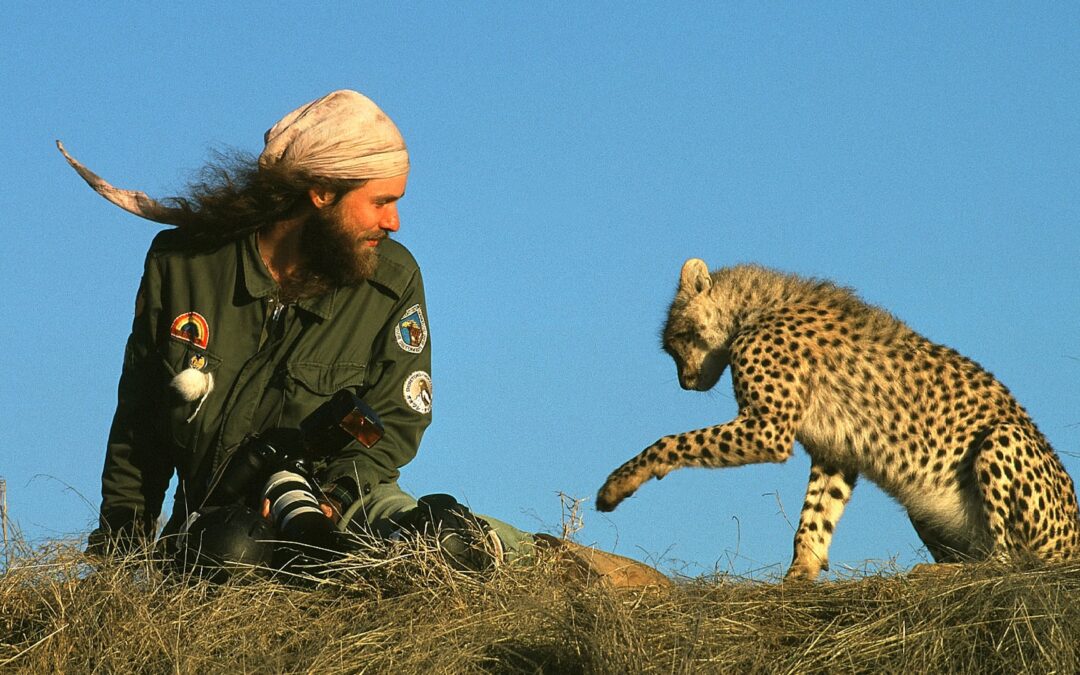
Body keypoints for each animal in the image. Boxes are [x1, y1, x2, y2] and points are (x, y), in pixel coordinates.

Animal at [600, 258, 1080, 578]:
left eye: (676, 341)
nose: (685, 382)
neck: (750, 311)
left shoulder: (768, 427)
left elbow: (670, 440)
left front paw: (619, 484)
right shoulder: (836, 450)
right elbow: (816, 514)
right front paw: (799, 575)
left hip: (1003, 439)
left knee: (1010, 561)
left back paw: (950, 573)